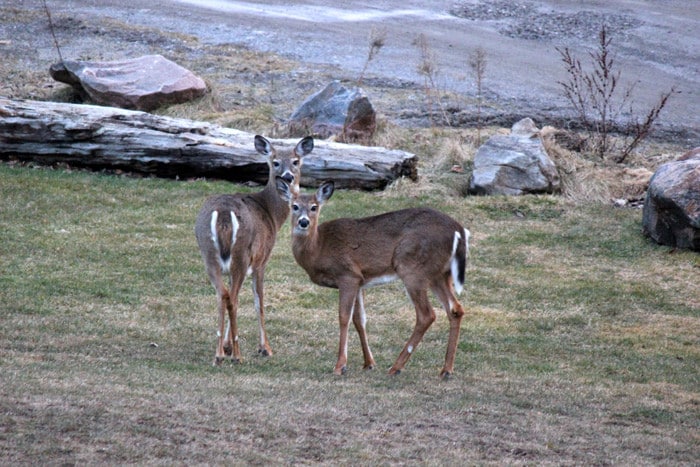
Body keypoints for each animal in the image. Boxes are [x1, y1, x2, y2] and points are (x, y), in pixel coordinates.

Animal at [191, 135, 312, 366]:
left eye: (296, 161)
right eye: (275, 161)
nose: (288, 177)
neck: (272, 214)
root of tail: (223, 214)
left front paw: (227, 346)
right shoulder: (261, 260)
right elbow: (259, 302)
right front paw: (265, 348)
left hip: (208, 254)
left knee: (222, 295)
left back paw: (219, 354)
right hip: (241, 253)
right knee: (233, 299)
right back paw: (237, 355)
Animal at [274, 177, 470, 378]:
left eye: (314, 207)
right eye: (294, 206)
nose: (303, 222)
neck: (319, 248)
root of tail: (458, 231)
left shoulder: (347, 275)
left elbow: (344, 317)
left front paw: (340, 365)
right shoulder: (359, 281)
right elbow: (360, 320)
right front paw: (368, 363)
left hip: (412, 269)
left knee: (426, 315)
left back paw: (396, 367)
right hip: (440, 274)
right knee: (456, 309)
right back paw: (446, 370)